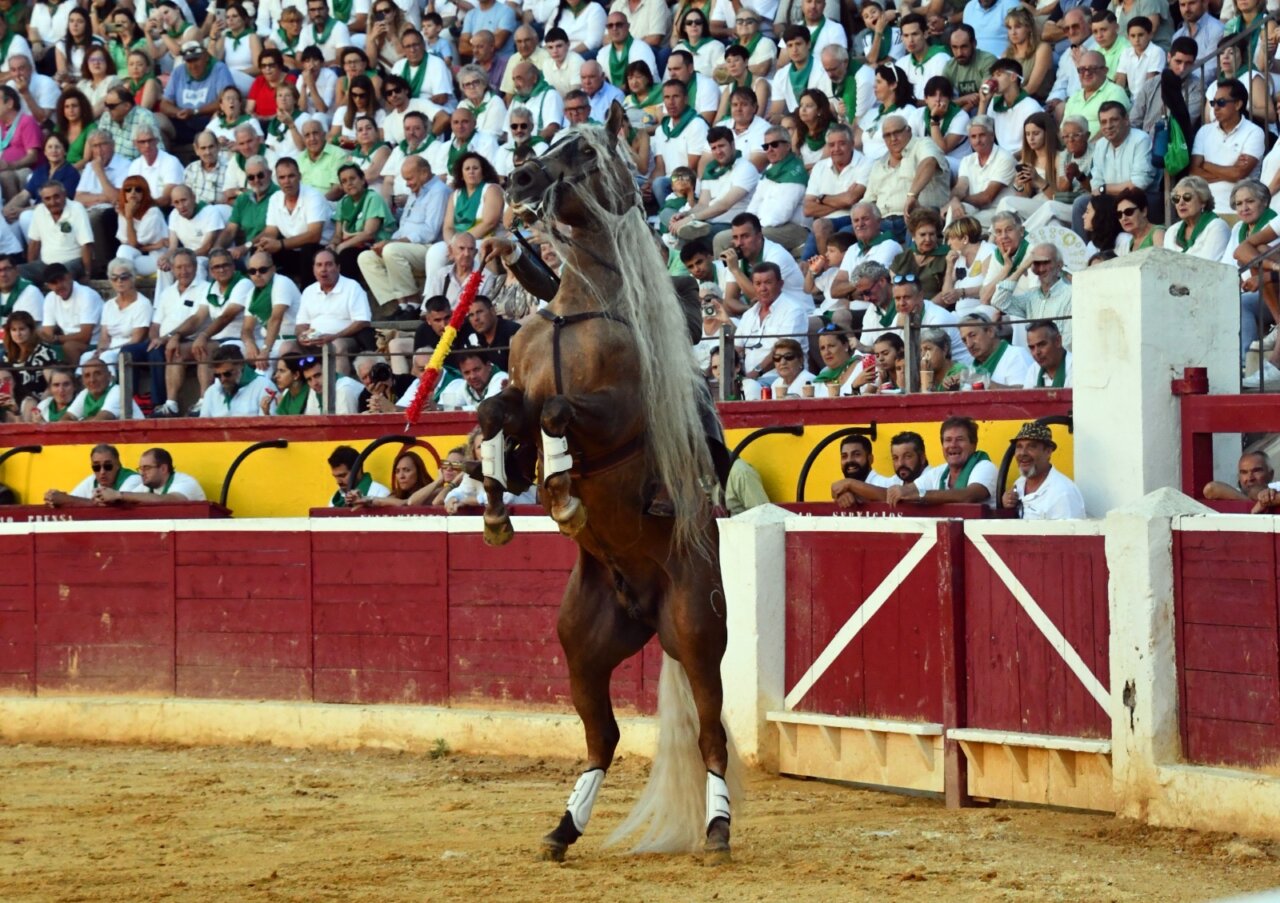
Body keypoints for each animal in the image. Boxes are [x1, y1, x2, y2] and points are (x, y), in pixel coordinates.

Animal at [474, 114, 742, 863]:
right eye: (551, 139)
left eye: (586, 152)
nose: (520, 176)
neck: (580, 306)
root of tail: (645, 606)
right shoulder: (521, 389)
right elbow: (500, 412)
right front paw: (498, 501)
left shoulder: (614, 413)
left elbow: (560, 412)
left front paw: (564, 491)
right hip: (583, 646)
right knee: (604, 736)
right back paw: (562, 829)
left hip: (698, 630)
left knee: (711, 733)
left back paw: (717, 829)